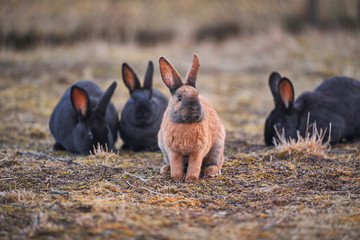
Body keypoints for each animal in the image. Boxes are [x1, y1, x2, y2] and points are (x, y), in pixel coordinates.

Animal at [158, 54, 225, 182]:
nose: (194, 108)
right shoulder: (173, 151)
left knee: (216, 163)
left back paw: (211, 172)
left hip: (217, 148)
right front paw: (176, 178)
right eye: (179, 98)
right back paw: (165, 169)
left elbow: (195, 165)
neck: (186, 123)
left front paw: (191, 179)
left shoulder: (197, 151)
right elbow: (176, 164)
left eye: (197, 95)